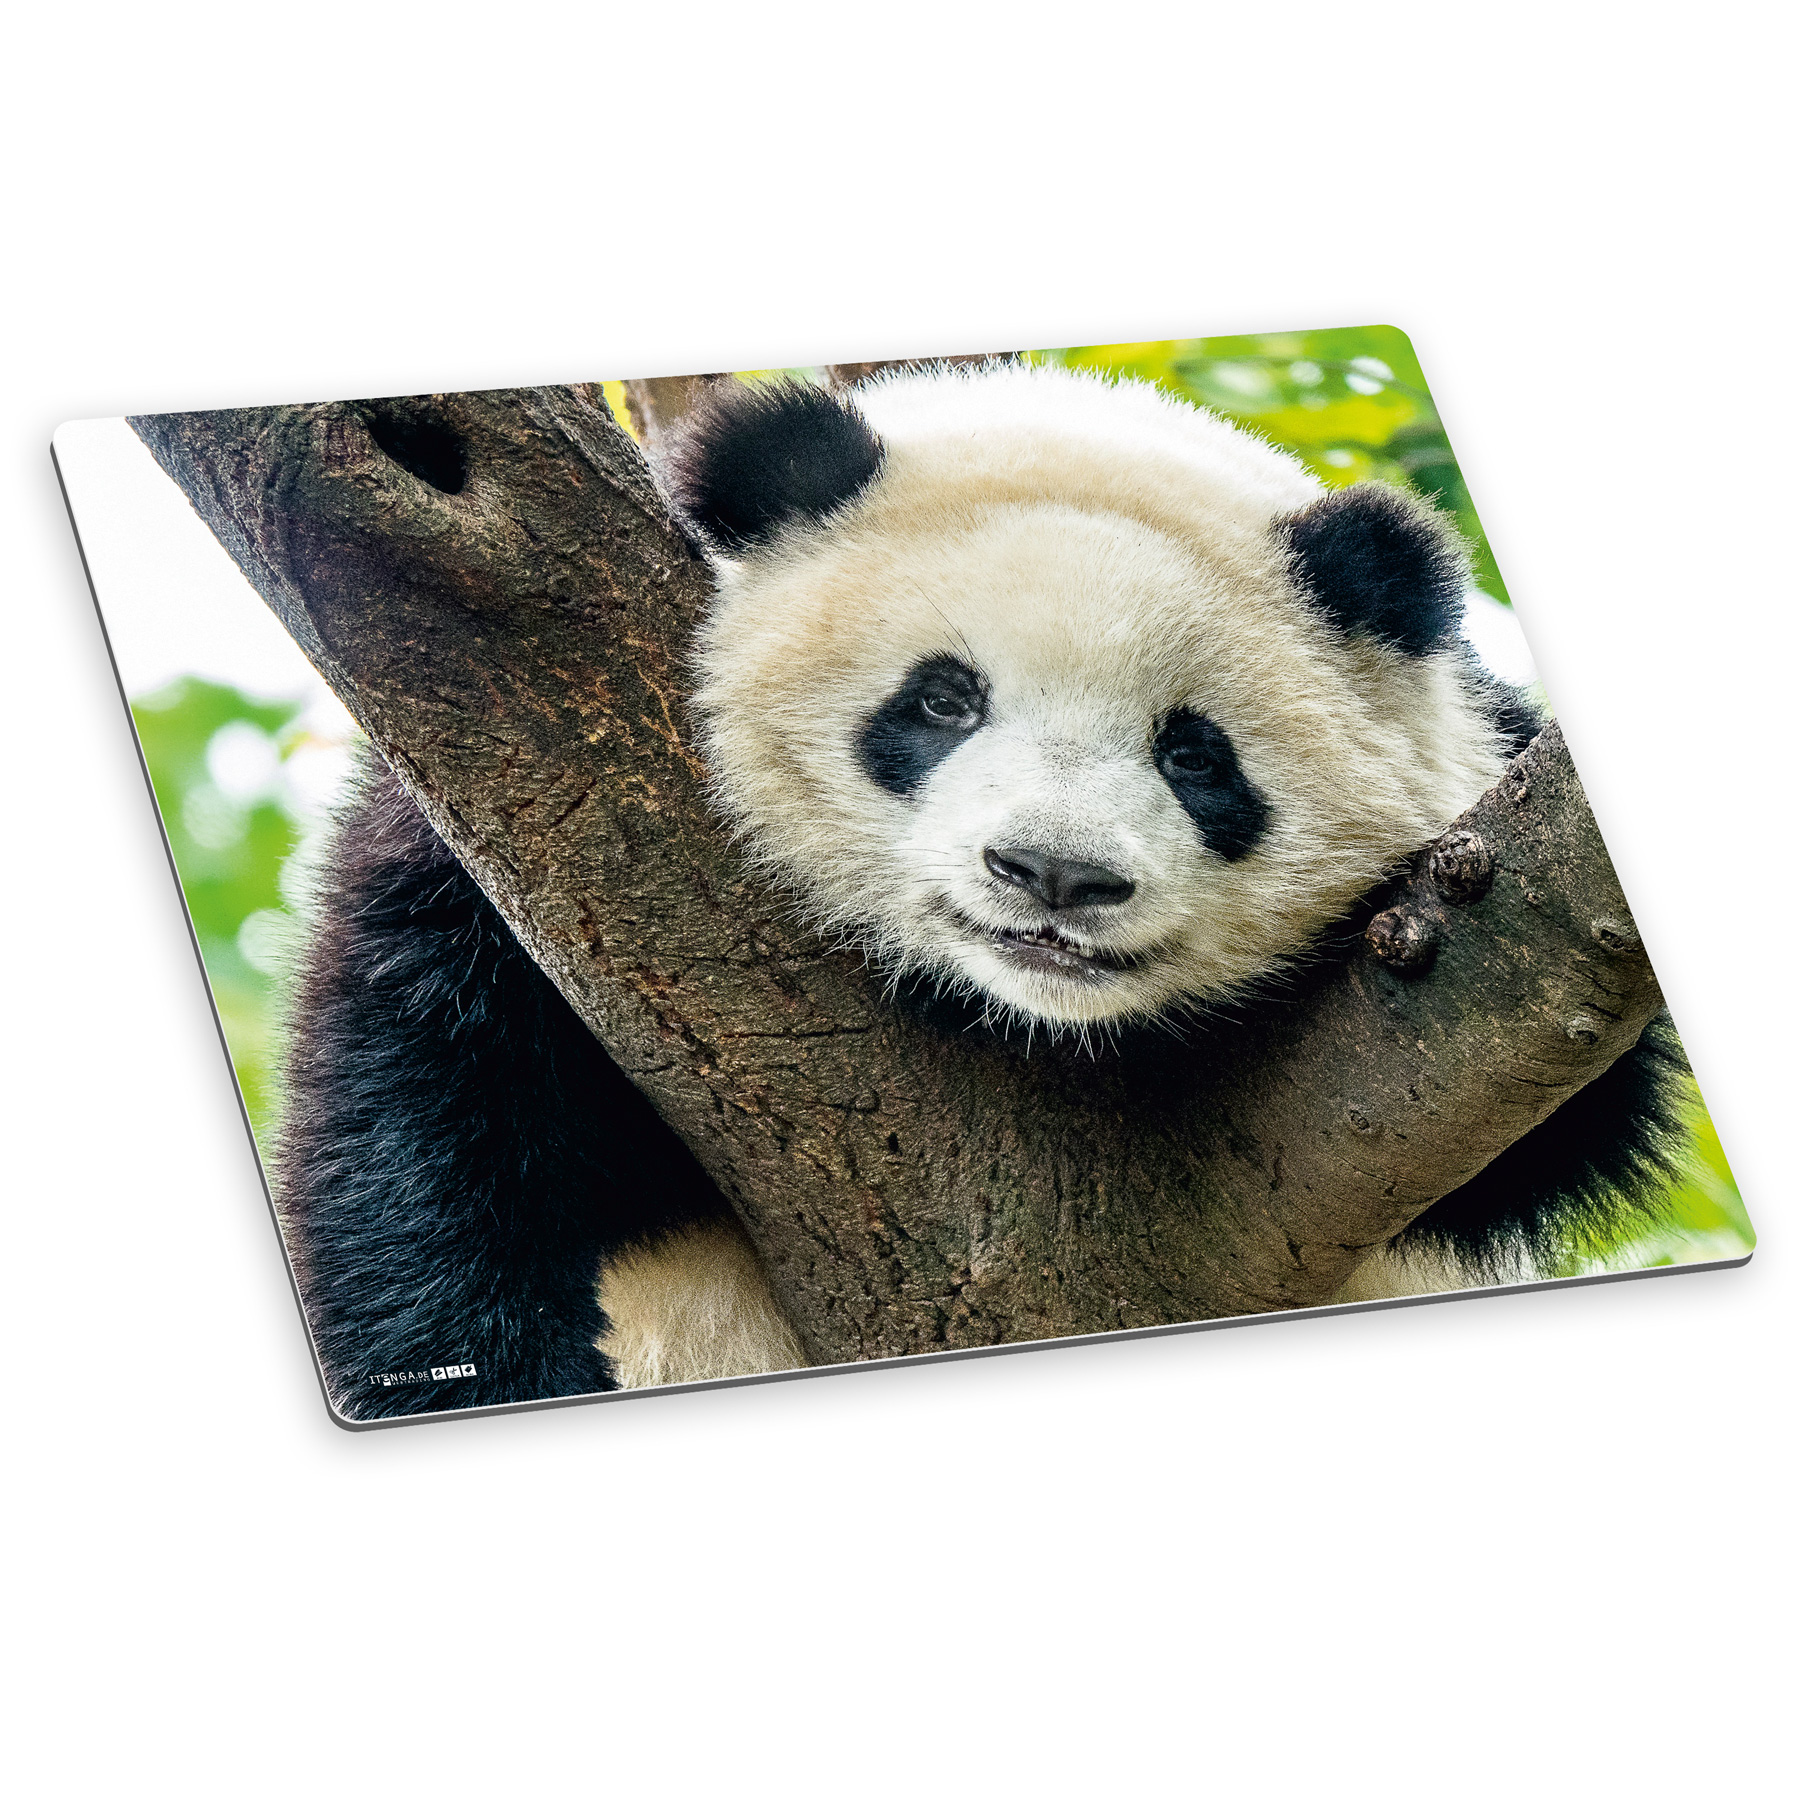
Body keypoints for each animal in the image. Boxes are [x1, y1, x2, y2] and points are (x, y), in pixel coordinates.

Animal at [278, 361, 1686, 1420]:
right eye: (944, 700)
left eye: (1194, 754)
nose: (1054, 873)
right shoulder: (520, 861)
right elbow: (436, 1095)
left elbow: (1567, 1117)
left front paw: (1411, 913)